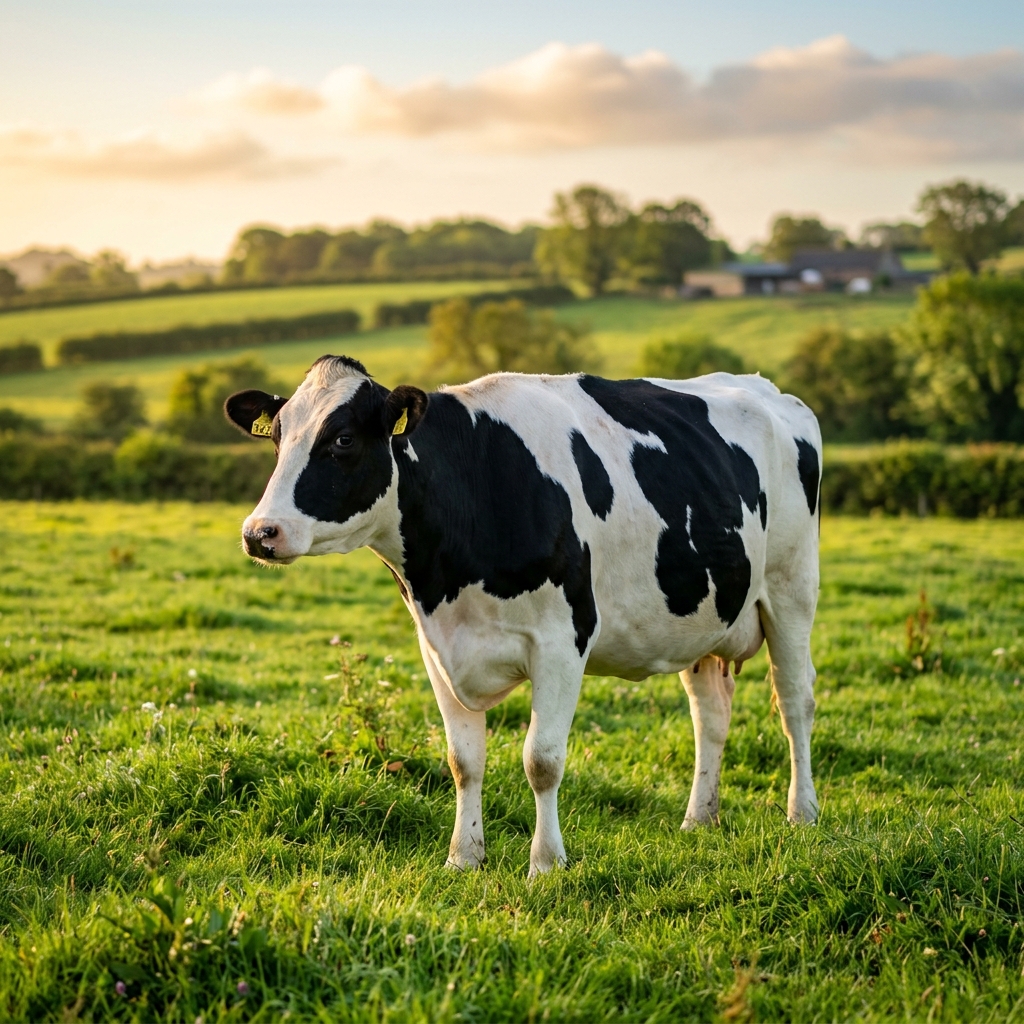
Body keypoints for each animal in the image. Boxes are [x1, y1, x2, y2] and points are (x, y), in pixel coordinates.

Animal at [225, 356, 822, 876]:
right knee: (710, 715)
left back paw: (803, 813)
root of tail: (769, 390)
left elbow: (542, 760)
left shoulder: (563, 641)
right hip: (703, 616)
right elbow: (463, 760)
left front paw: (547, 863)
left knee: (795, 703)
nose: (259, 532)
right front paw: (463, 858)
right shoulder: (437, 646)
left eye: (343, 439)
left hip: (792, 591)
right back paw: (700, 819)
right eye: (277, 436)